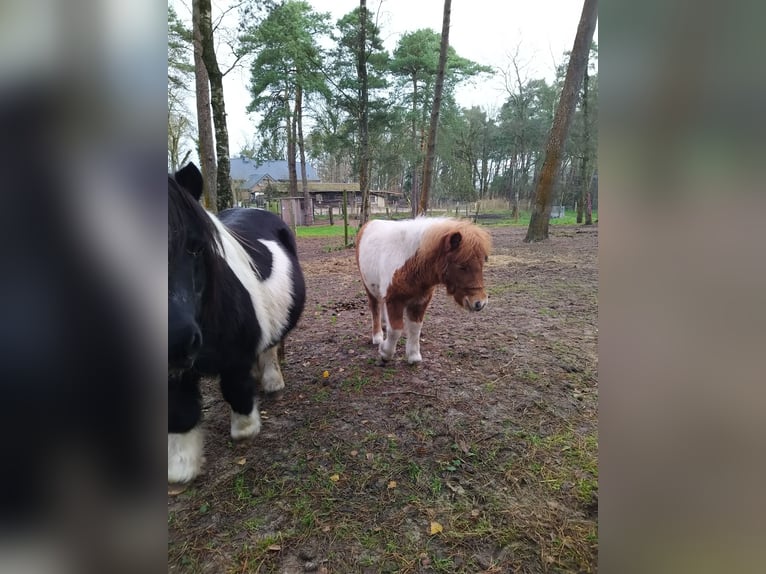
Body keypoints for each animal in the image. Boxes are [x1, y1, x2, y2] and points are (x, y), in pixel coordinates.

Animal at [169, 164, 306, 484]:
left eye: (195, 247)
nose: (176, 343)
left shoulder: (236, 356)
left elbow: (235, 388)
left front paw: (246, 428)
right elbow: (181, 413)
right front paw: (182, 468)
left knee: (269, 349)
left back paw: (272, 382)